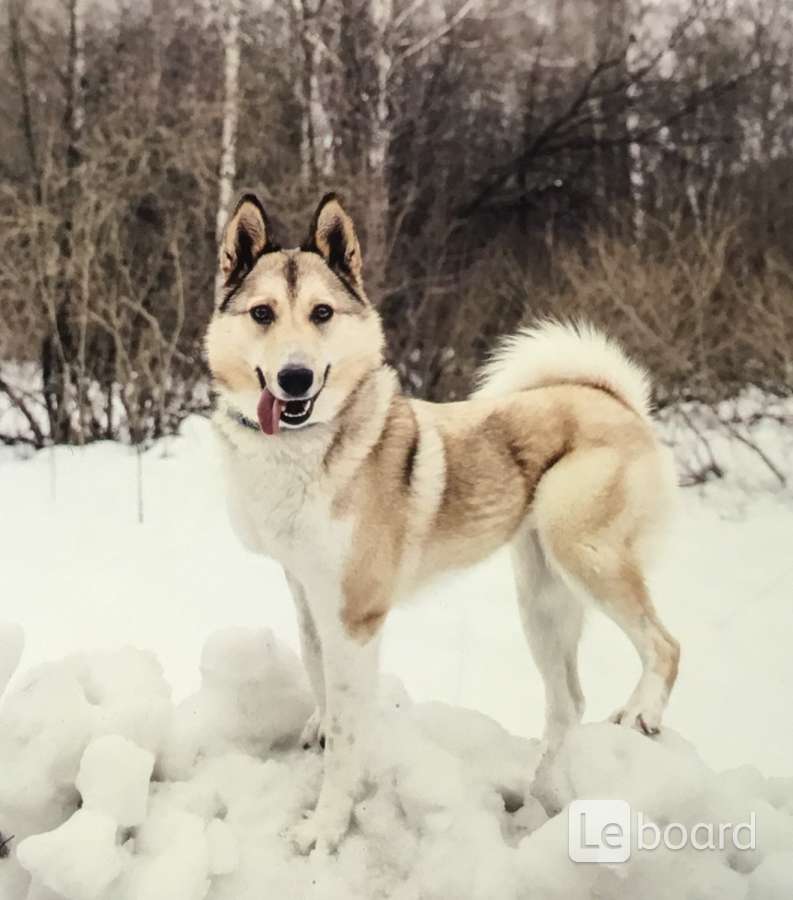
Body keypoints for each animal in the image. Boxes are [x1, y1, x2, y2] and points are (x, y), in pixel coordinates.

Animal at [201, 193, 676, 856]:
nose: (295, 377)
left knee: (664, 646)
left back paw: (642, 713)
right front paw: (321, 736)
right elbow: (321, 685)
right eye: (262, 314)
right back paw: (545, 791)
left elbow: (348, 734)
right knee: (568, 702)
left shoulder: (355, 618)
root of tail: (613, 398)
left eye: (322, 313)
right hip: (541, 597)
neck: (305, 446)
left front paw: (326, 826)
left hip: (585, 554)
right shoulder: (308, 599)